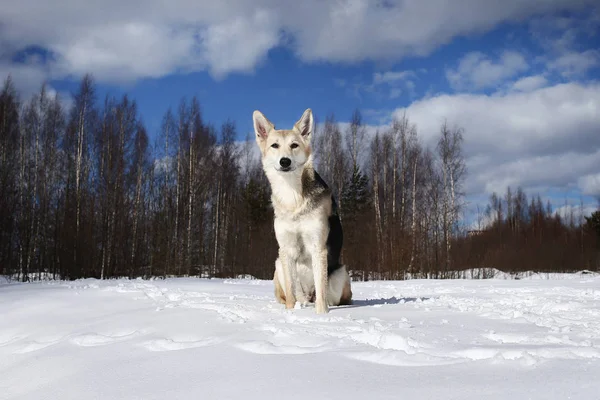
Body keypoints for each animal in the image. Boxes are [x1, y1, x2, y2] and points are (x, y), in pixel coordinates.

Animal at [252, 108, 352, 314]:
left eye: (294, 145)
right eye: (274, 145)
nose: (285, 161)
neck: (293, 199)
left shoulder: (318, 247)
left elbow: (321, 290)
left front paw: (321, 316)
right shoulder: (286, 249)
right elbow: (291, 292)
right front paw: (290, 312)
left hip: (341, 273)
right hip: (278, 264)